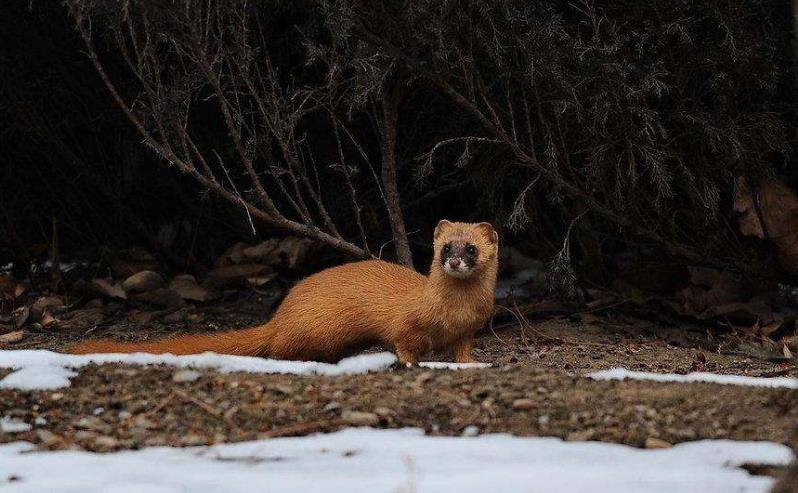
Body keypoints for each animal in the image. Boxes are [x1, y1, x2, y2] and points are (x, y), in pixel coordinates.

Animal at [75, 221, 500, 364]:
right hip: (318, 328)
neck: (454, 312)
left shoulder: (469, 329)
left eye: (471, 248)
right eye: (445, 247)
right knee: (280, 349)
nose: (455, 261)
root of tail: (280, 316)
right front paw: (412, 364)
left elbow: (463, 350)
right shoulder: (406, 323)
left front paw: (472, 364)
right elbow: (404, 342)